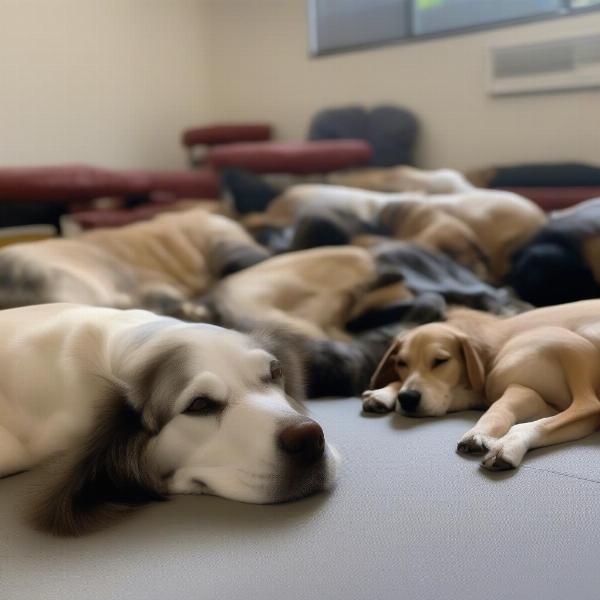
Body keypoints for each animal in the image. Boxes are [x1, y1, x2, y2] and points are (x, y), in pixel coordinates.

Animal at [360, 298, 600, 472]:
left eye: (440, 361)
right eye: (401, 363)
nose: (408, 398)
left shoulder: (522, 389)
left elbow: (497, 410)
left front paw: (479, 433)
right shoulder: (539, 401)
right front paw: (384, 392)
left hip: (571, 342)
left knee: (588, 404)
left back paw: (508, 444)